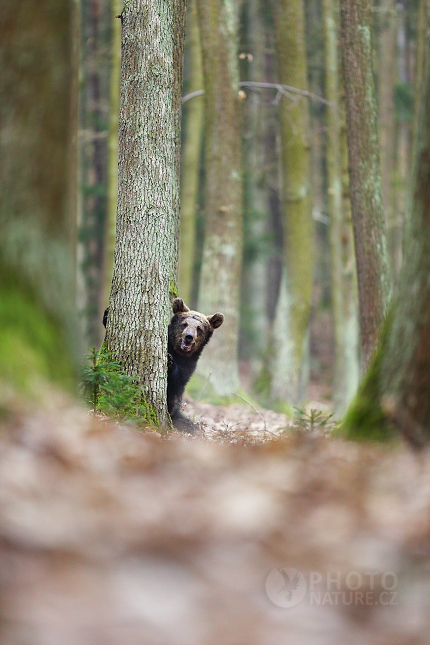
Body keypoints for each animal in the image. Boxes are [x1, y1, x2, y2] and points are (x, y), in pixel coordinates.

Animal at [167, 296, 223, 432]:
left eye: (199, 328)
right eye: (184, 324)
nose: (189, 337)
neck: (179, 353)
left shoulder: (189, 365)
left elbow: (178, 380)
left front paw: (170, 363)